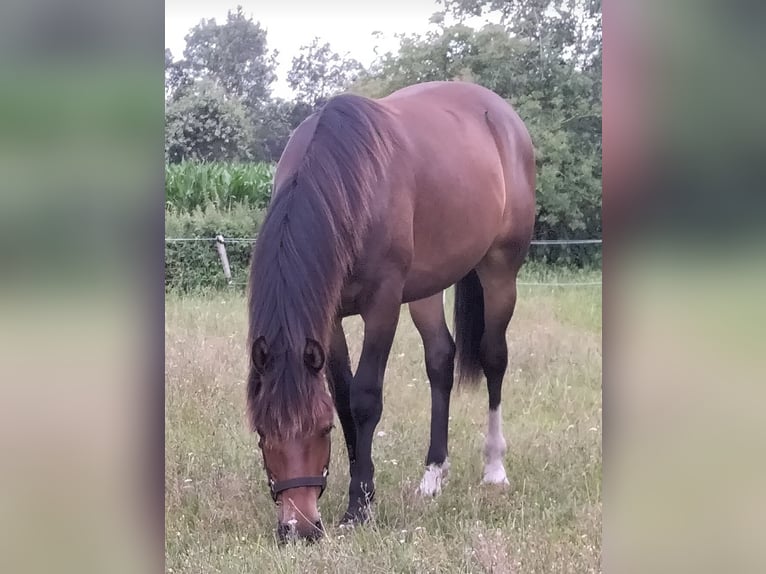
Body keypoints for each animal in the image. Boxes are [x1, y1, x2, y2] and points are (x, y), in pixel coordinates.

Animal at [246, 81, 536, 544]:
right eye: (262, 433)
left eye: (321, 430)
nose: (299, 529)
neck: (346, 184)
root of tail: (502, 114)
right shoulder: (329, 319)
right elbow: (343, 396)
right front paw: (362, 487)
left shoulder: (382, 304)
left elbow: (365, 398)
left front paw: (359, 506)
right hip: (426, 288)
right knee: (440, 360)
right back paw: (433, 475)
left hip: (500, 269)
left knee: (494, 357)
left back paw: (494, 468)